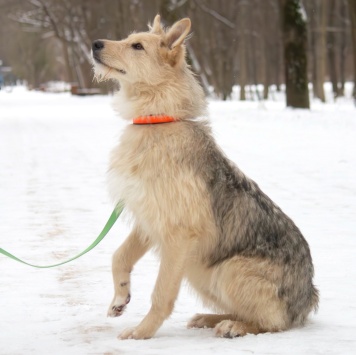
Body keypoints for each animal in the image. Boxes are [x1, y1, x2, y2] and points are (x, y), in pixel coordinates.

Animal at [91, 15, 318, 340]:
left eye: (137, 46)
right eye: (127, 39)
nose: (95, 44)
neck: (158, 121)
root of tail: (307, 298)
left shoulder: (179, 233)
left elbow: (161, 293)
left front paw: (142, 332)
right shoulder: (149, 218)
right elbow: (119, 257)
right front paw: (120, 299)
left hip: (227, 269)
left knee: (273, 322)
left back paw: (234, 326)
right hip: (201, 271)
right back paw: (210, 318)